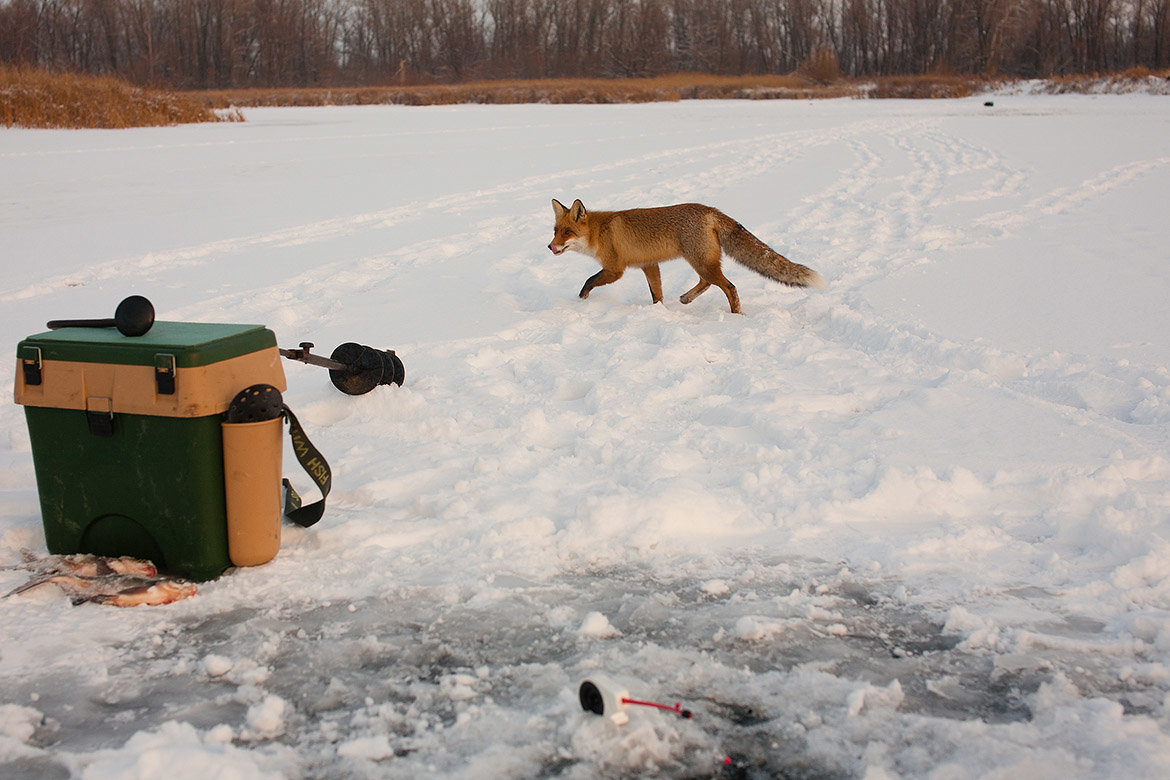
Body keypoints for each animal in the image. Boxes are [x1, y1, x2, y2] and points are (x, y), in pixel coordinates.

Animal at [545, 198, 823, 313]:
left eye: (568, 233)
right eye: (555, 231)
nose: (550, 247)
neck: (599, 232)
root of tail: (711, 210)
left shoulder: (615, 269)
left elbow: (589, 280)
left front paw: (582, 300)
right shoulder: (649, 265)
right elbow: (656, 294)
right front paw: (658, 313)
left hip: (701, 261)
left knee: (729, 287)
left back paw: (736, 316)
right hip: (702, 262)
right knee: (708, 283)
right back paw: (686, 299)